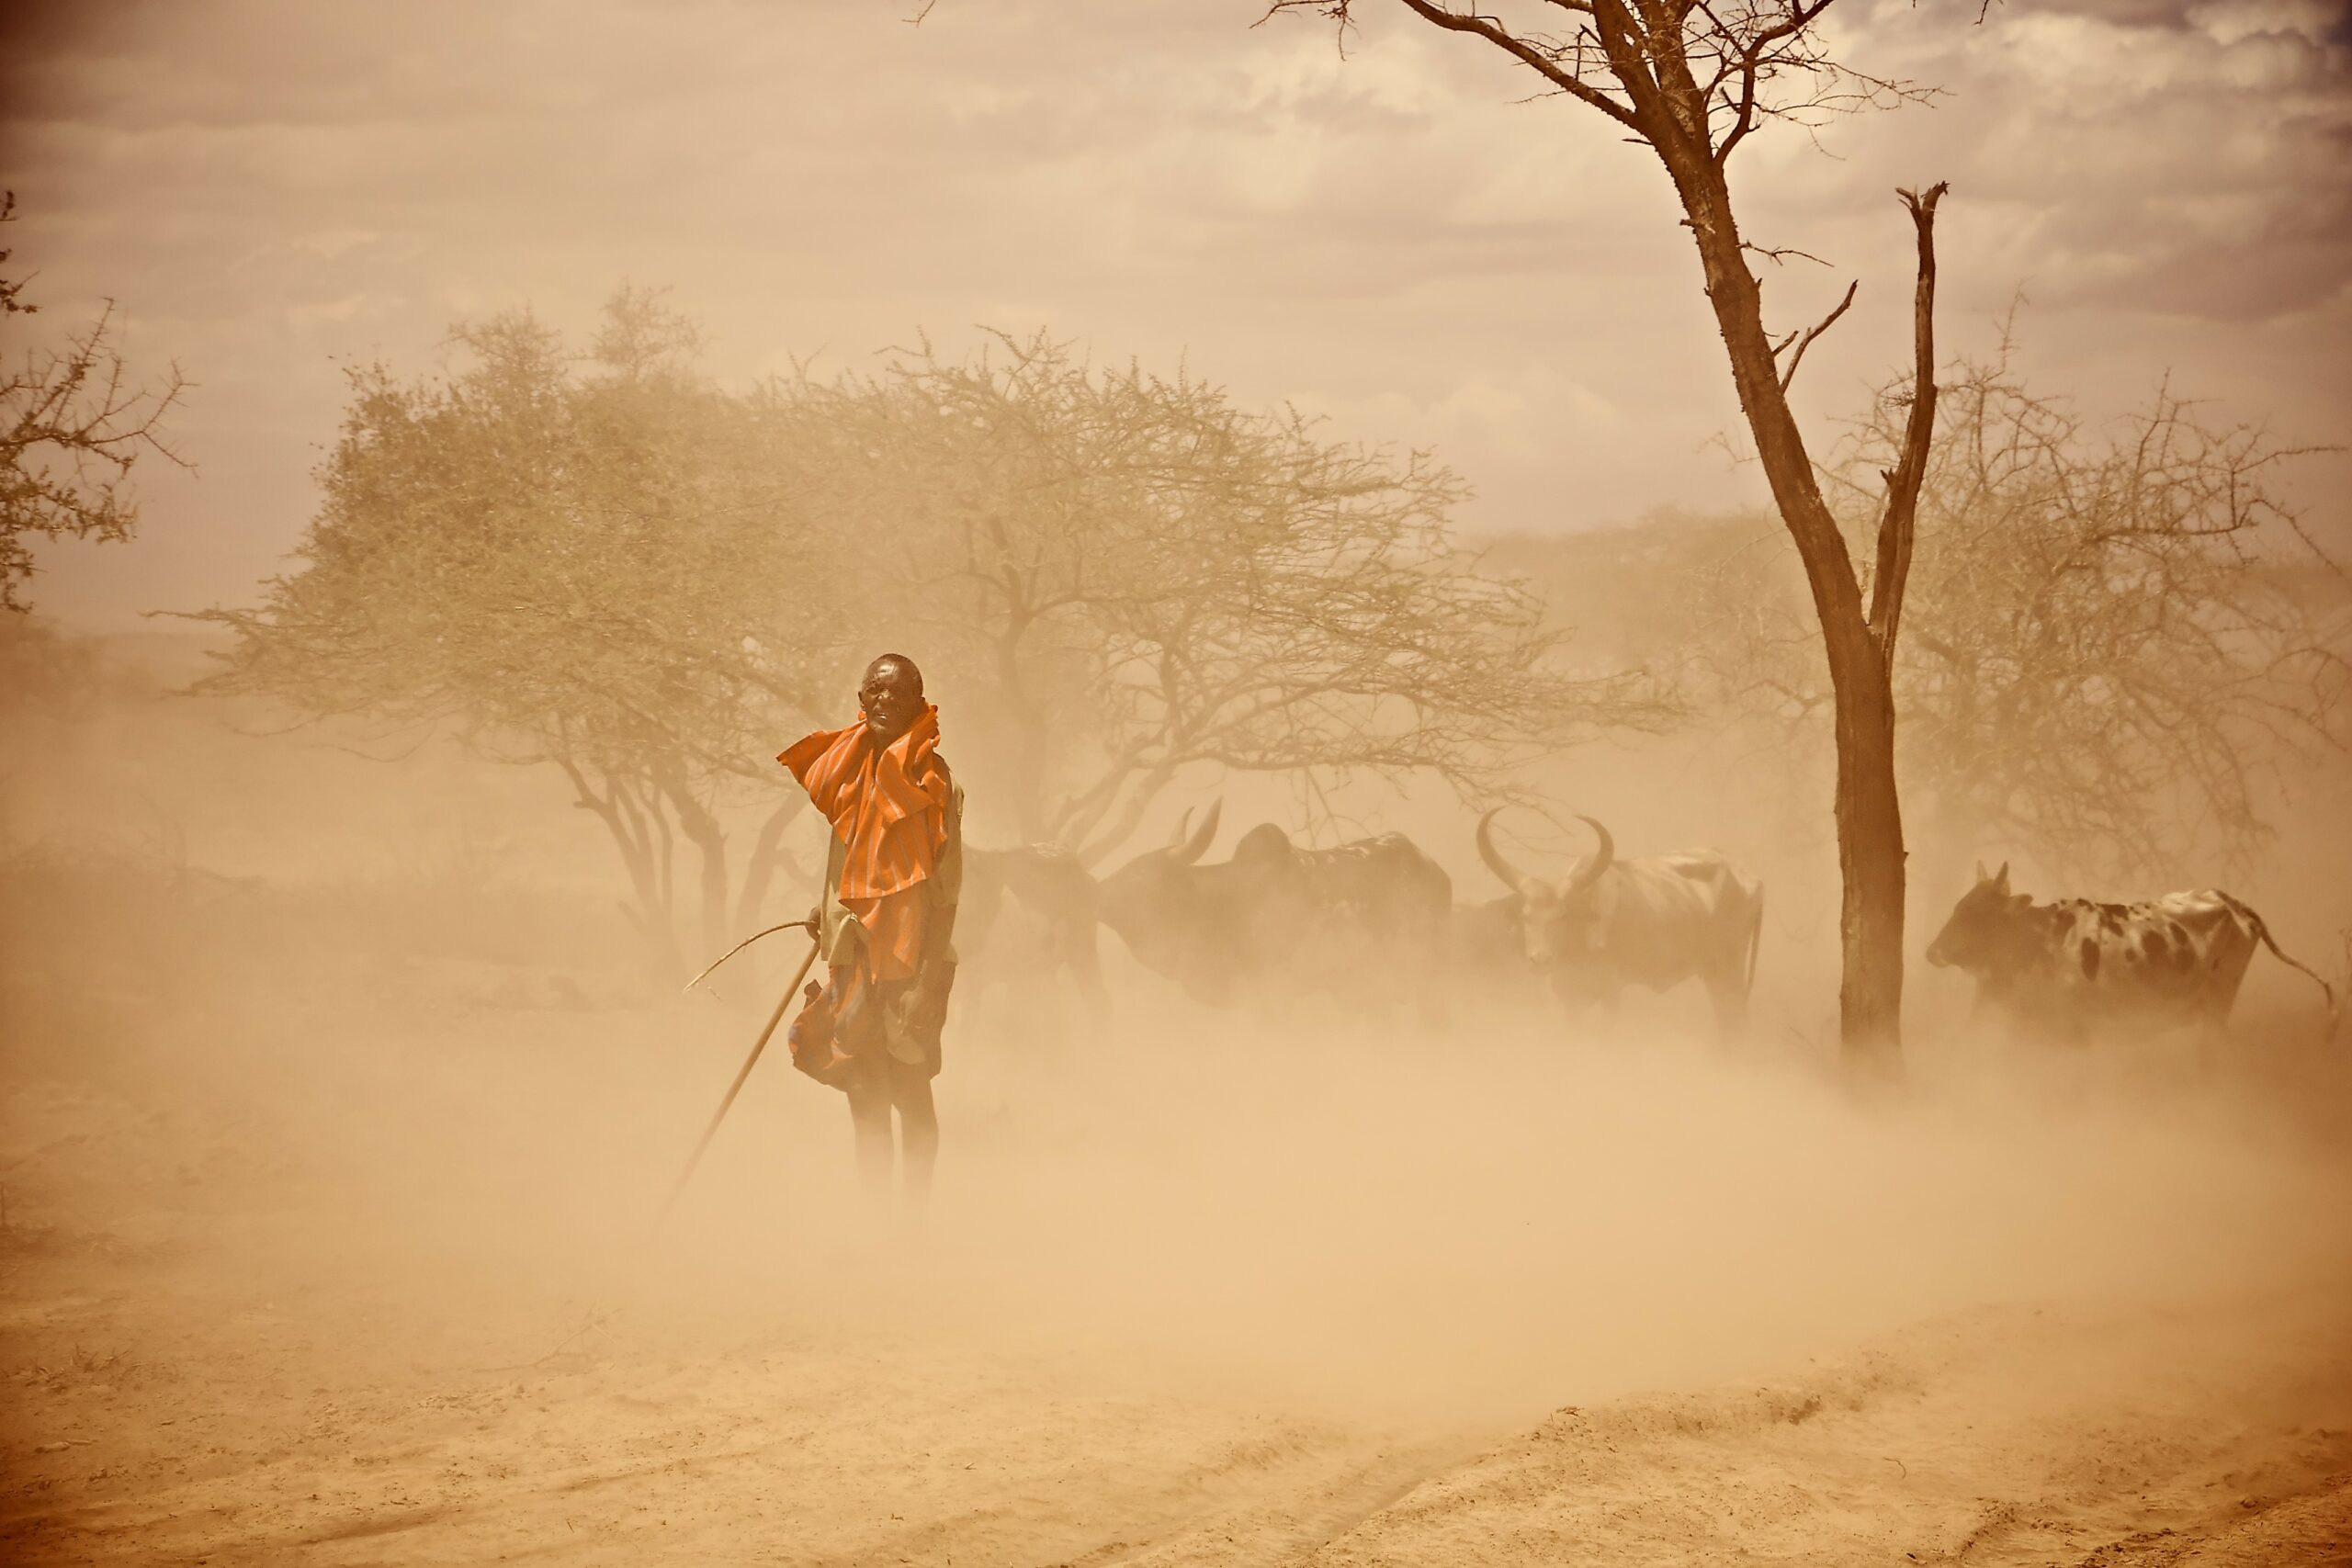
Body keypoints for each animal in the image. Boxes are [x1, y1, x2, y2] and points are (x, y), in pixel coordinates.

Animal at [1476, 808, 1758, 1043]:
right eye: (1526, 916)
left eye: (1563, 916)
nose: (1540, 959)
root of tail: (1752, 878)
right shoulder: (1569, 998)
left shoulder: (1611, 991)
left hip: (1729, 973)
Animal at [1928, 864, 2333, 1048]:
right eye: (1958, 907)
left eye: (1978, 914)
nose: (1932, 952)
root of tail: (2231, 902)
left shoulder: (2075, 1032)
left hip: (2216, 1012)